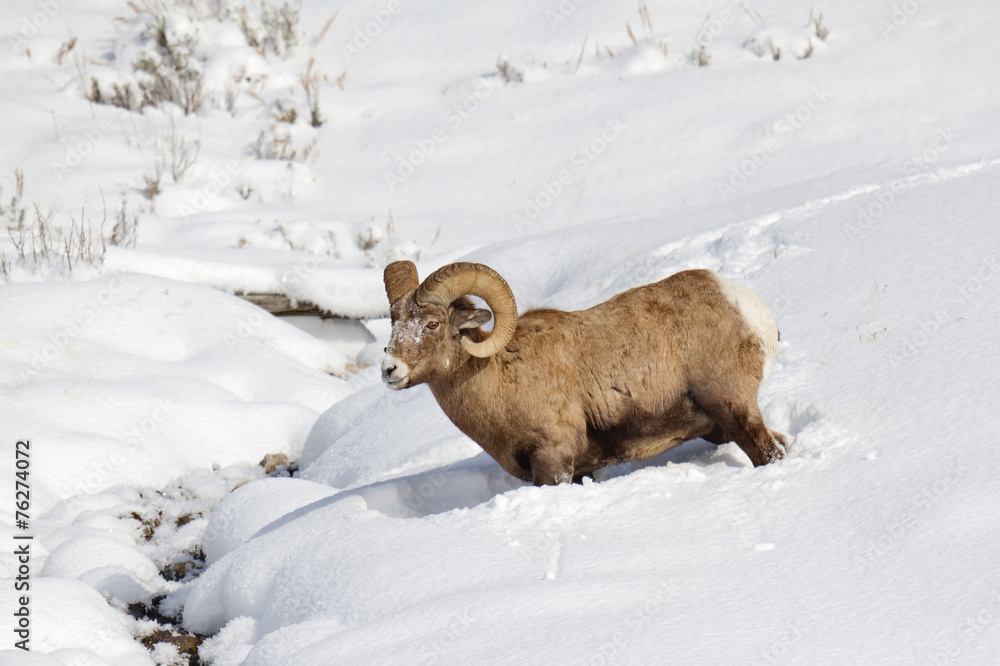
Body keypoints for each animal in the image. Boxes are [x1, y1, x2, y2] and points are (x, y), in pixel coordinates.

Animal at [380, 261, 787, 486]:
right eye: (394, 323)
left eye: (432, 323)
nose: (389, 370)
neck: (497, 381)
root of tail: (751, 310)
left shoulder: (553, 461)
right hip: (720, 427)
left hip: (733, 408)